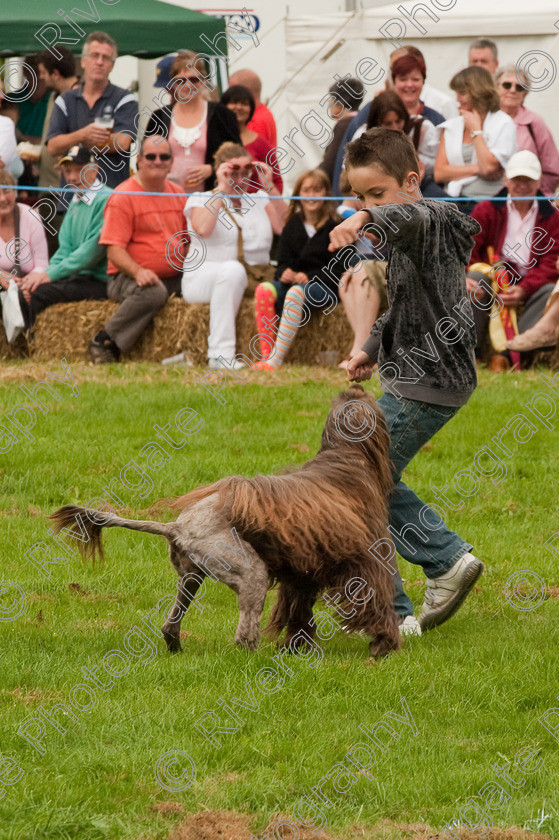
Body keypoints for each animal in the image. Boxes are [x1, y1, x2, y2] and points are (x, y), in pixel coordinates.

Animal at [52, 386, 400, 656]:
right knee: (244, 634)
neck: (345, 458)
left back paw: (178, 647)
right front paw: (384, 644)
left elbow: (299, 611)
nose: (356, 382)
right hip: (250, 573)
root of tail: (176, 526)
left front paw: (299, 647)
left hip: (191, 577)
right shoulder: (368, 560)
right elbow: (377, 601)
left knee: (170, 625)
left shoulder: (301, 572)